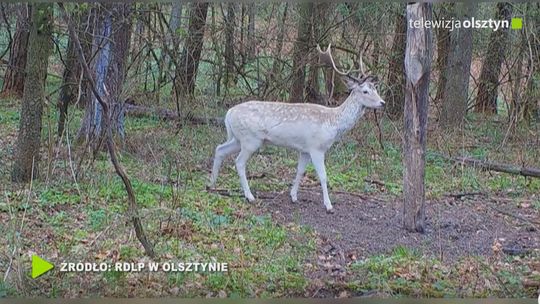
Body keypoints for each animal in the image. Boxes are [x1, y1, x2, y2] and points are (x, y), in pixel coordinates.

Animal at [209, 44, 386, 213]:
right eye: (365, 91)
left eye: (376, 89)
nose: (382, 102)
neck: (333, 123)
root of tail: (228, 113)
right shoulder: (316, 147)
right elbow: (323, 176)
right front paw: (328, 206)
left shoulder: (305, 149)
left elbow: (300, 171)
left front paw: (293, 196)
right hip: (250, 139)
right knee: (239, 162)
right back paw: (249, 196)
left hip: (237, 138)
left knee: (220, 149)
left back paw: (211, 185)